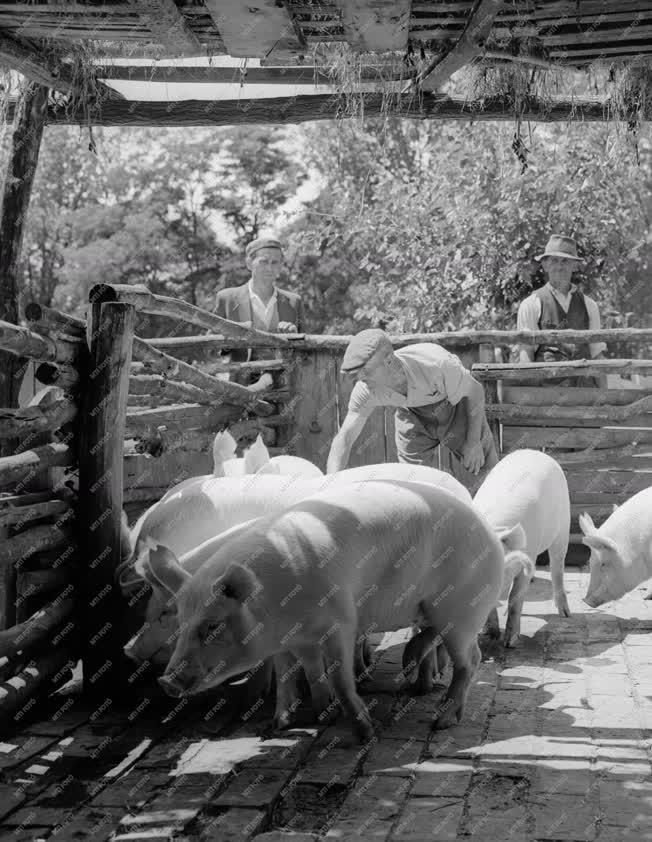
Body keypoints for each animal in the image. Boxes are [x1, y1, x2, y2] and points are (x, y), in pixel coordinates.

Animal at [149, 480, 504, 736]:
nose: (166, 682)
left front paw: (364, 732)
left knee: (471, 659)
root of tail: (490, 532)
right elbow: (293, 675)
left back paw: (441, 720)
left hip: (462, 606)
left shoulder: (341, 622)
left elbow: (339, 677)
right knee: (432, 635)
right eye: (179, 622)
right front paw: (283, 725)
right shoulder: (285, 641)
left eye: (213, 625)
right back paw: (415, 677)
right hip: (432, 607)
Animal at [472, 450, 568, 648]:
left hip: (564, 525)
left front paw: (510, 642)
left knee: (557, 566)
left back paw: (565, 614)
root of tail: (535, 451)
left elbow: (515, 597)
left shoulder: (528, 555)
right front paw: (490, 634)